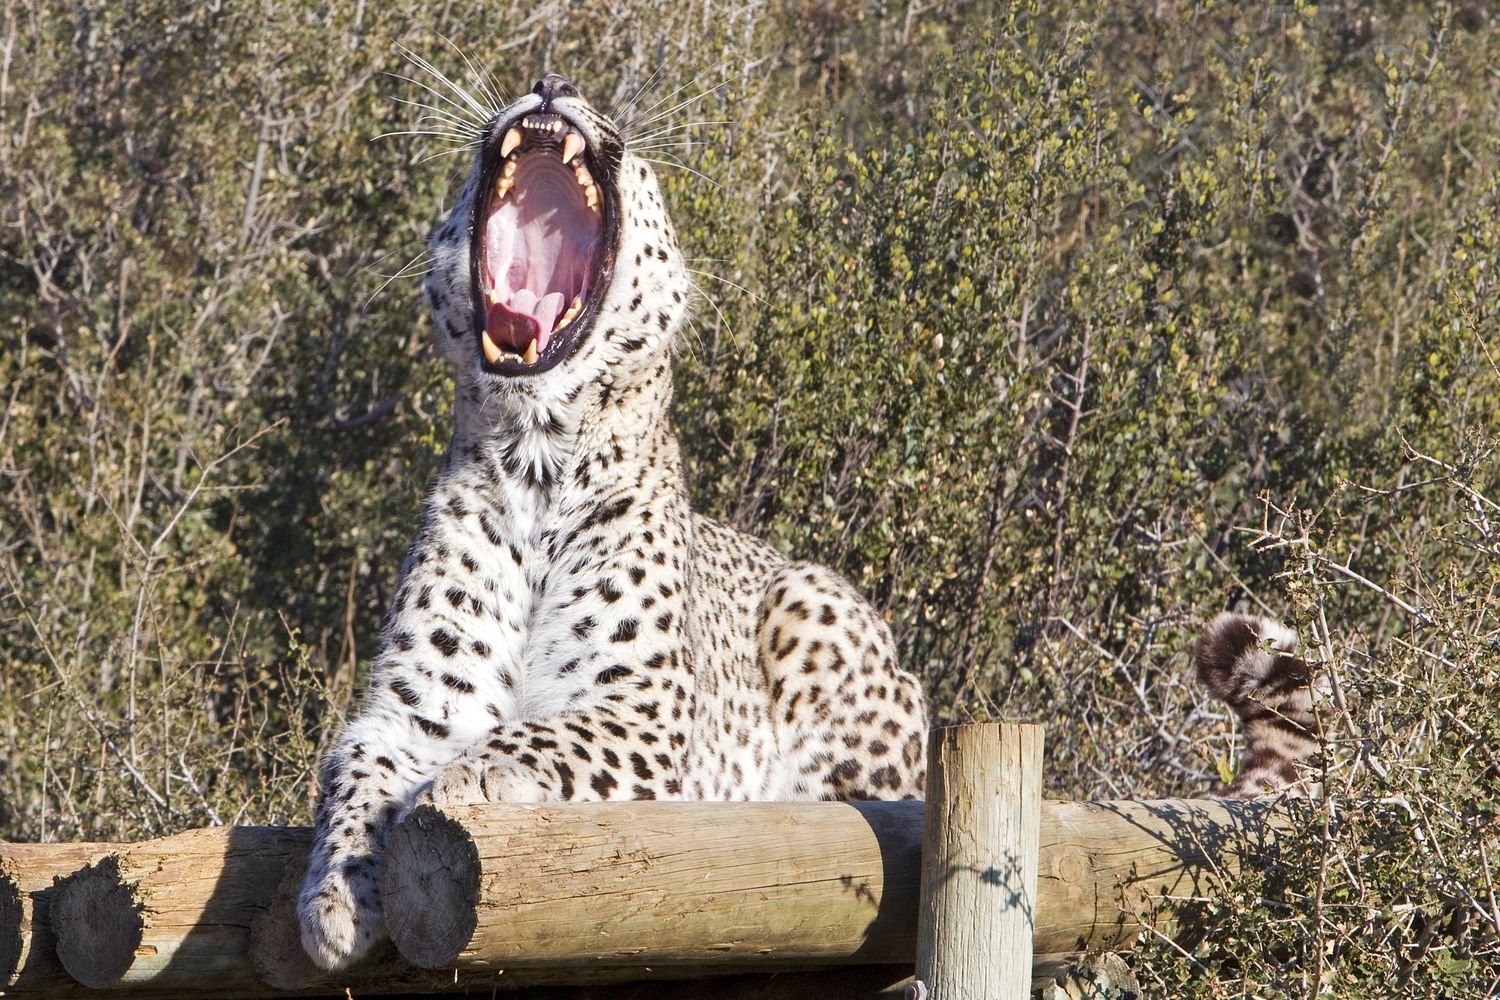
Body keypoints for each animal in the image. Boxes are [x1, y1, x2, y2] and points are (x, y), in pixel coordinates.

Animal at [296, 74, 928, 972]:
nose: (552, 82)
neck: (536, 462)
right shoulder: (410, 710)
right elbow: (351, 777)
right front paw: (334, 897)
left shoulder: (641, 707)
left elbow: (535, 736)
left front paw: (456, 782)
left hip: (816, 615)